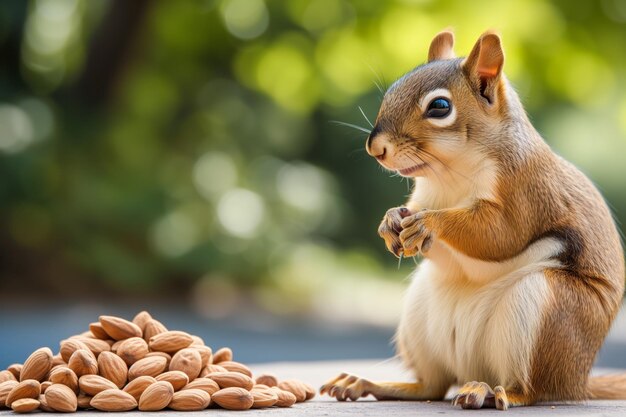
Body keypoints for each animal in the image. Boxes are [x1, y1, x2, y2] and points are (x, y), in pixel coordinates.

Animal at [320, 30, 620, 408]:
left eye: (440, 107)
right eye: (390, 91)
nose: (376, 148)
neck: (450, 175)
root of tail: (578, 383)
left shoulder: (526, 193)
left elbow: (498, 235)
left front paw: (430, 223)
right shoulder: (423, 196)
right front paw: (389, 222)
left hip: (548, 312)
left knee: (530, 389)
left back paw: (494, 392)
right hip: (419, 318)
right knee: (431, 387)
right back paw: (364, 382)